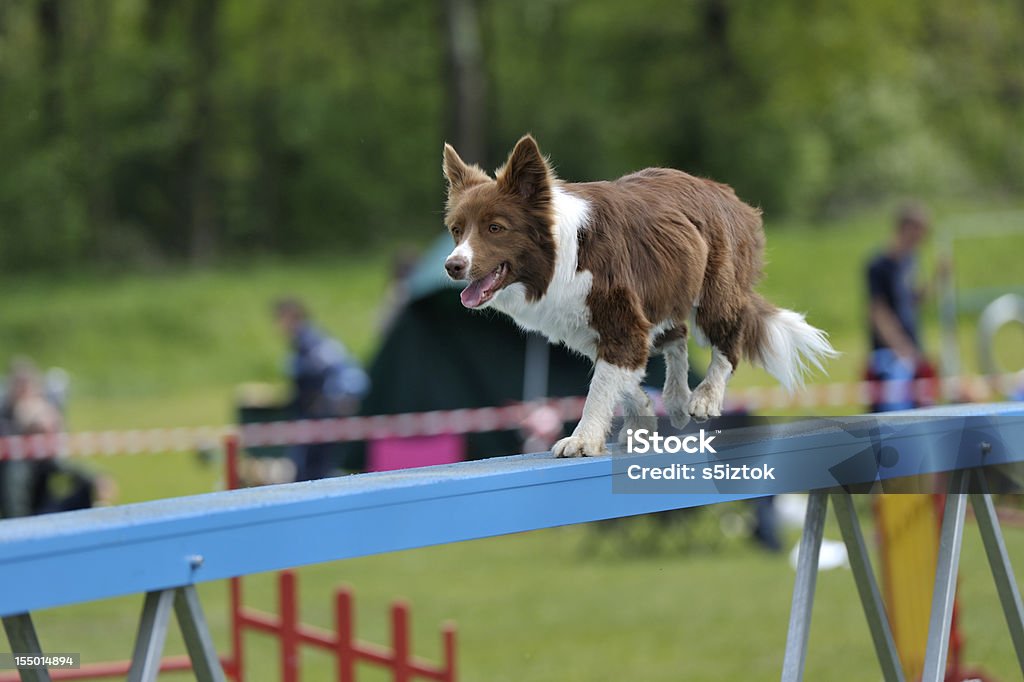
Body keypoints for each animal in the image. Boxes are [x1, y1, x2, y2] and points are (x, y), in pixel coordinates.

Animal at [440, 135, 831, 454]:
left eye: (495, 228)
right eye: (457, 230)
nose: (452, 265)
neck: (563, 254)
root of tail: (725, 192)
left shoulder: (620, 319)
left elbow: (600, 387)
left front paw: (583, 439)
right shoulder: (593, 327)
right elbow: (622, 376)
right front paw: (642, 416)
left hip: (715, 290)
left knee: (727, 339)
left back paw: (705, 397)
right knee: (677, 334)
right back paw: (676, 398)